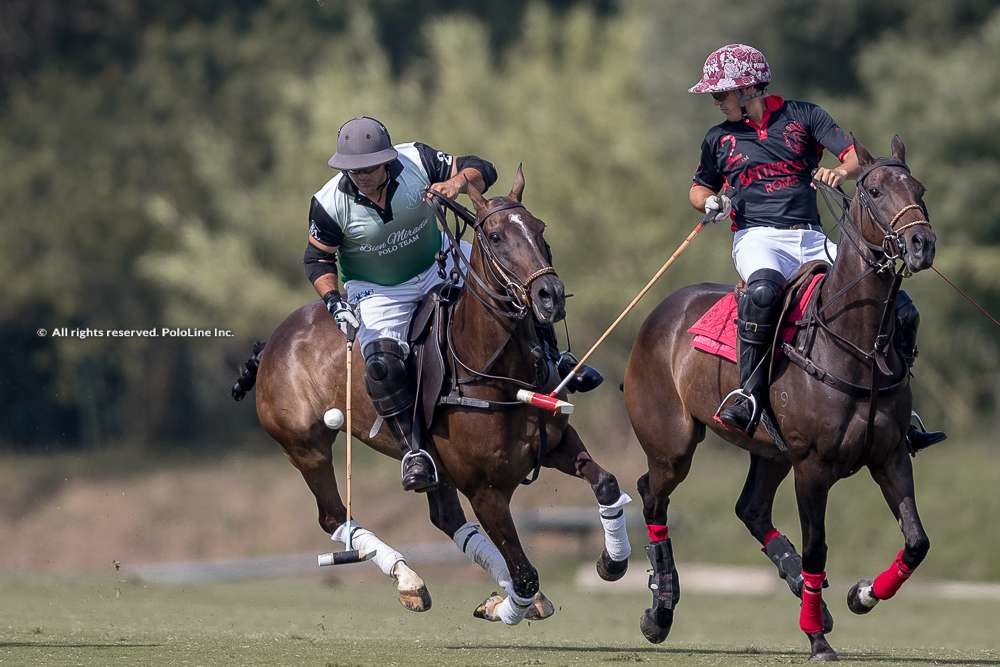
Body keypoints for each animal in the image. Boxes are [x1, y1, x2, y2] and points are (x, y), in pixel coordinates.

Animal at [231, 167, 628, 628]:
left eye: (540, 228)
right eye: (494, 236)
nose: (550, 296)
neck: (497, 370)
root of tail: (273, 340)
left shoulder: (557, 445)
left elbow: (606, 483)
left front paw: (612, 562)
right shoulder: (485, 489)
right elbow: (525, 572)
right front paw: (507, 606)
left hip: (433, 463)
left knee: (445, 517)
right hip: (305, 446)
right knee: (333, 513)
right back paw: (409, 579)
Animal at [624, 137, 936, 664]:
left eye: (919, 188)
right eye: (873, 191)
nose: (921, 245)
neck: (854, 343)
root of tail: (658, 313)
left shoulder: (891, 455)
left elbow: (917, 541)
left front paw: (861, 595)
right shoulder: (812, 465)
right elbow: (818, 549)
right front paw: (818, 640)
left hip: (769, 449)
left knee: (750, 508)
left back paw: (800, 587)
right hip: (672, 444)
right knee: (652, 495)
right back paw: (660, 610)